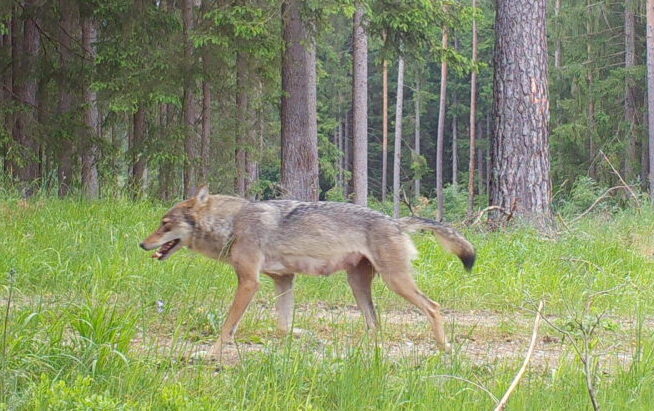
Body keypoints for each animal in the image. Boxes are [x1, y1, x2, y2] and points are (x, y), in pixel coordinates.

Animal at [140, 186, 475, 355]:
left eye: (164, 224)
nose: (142, 244)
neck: (232, 223)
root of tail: (395, 221)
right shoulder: (283, 280)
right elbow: (282, 326)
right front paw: (300, 335)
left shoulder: (249, 282)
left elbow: (226, 327)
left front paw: (212, 353)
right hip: (358, 284)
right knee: (374, 324)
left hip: (396, 283)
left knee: (433, 307)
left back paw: (444, 347)